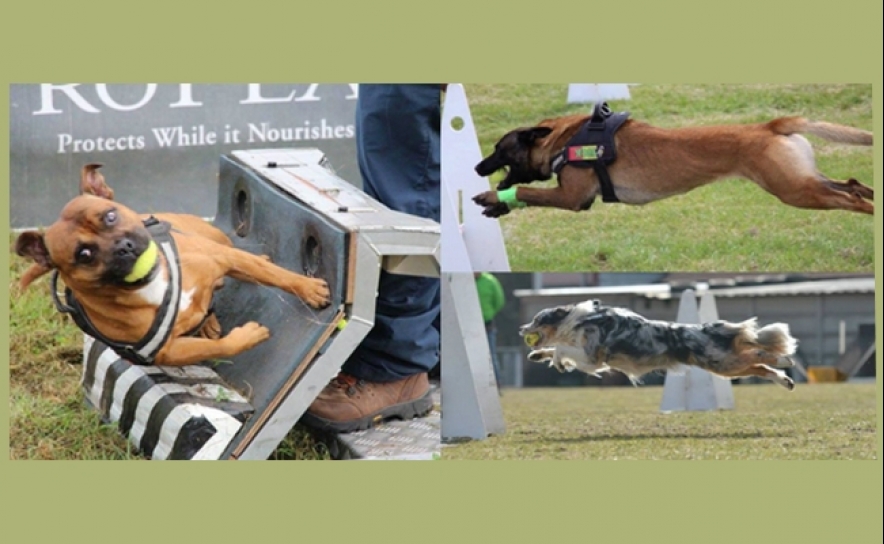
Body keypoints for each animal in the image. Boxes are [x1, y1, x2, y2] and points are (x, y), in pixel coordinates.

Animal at [13, 165, 332, 366]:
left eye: (110, 216)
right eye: (84, 254)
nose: (123, 247)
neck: (154, 284)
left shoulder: (222, 258)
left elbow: (275, 275)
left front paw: (308, 288)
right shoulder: (168, 351)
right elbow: (221, 346)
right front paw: (247, 336)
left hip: (215, 240)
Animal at [474, 110, 872, 217]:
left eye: (498, 149)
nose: (478, 168)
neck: (564, 139)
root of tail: (771, 125)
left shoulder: (572, 198)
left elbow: (525, 190)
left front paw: (494, 198)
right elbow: (527, 193)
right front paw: (497, 206)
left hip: (795, 189)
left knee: (851, 197)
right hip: (803, 180)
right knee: (853, 184)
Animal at [520, 300, 796, 388]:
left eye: (537, 320)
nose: (521, 329)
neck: (577, 321)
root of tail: (709, 328)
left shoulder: (591, 357)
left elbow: (561, 348)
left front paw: (557, 361)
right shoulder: (588, 357)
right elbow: (554, 347)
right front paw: (538, 356)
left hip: (722, 362)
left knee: (759, 355)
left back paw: (784, 360)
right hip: (725, 366)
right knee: (759, 366)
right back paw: (786, 381)